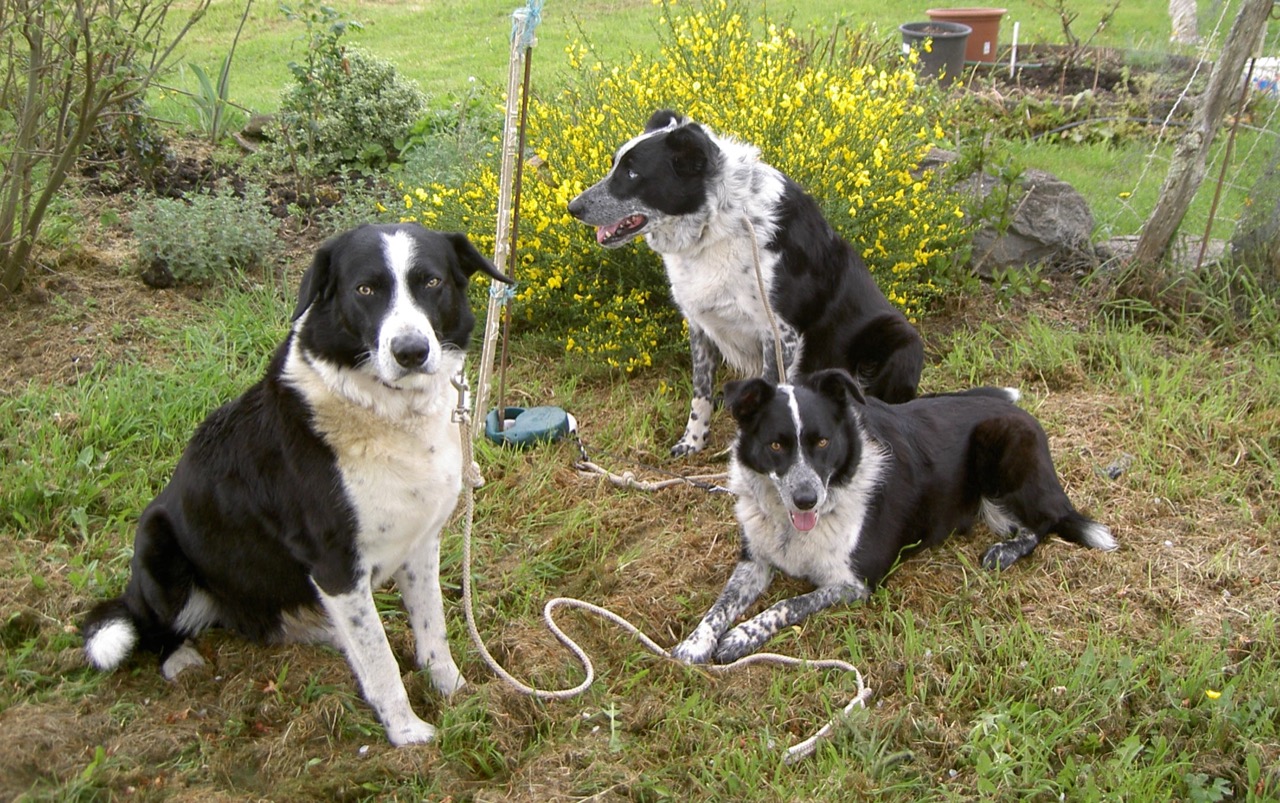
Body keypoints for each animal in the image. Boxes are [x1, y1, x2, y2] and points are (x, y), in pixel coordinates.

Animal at [77, 221, 509, 747]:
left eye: (431, 282)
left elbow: (433, 631)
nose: (411, 352)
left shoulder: (419, 543)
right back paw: (181, 659)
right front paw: (407, 733)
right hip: (158, 545)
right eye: (365, 290)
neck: (388, 412)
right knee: (155, 628)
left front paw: (454, 691)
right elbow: (381, 662)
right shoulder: (336, 565)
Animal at [568, 111, 921, 458]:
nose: (573, 207)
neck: (715, 225)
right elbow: (701, 392)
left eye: (632, 173)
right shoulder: (699, 326)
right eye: (615, 165)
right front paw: (693, 441)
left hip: (901, 342)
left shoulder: (780, 334)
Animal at [675, 371, 1116, 665]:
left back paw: (1005, 550)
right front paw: (697, 643)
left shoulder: (854, 583)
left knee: (1045, 522)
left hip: (1004, 451)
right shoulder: (755, 562)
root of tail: (1019, 413)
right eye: (776, 445)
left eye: (823, 441)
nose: (806, 500)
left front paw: (742, 635)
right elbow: (719, 606)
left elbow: (788, 604)